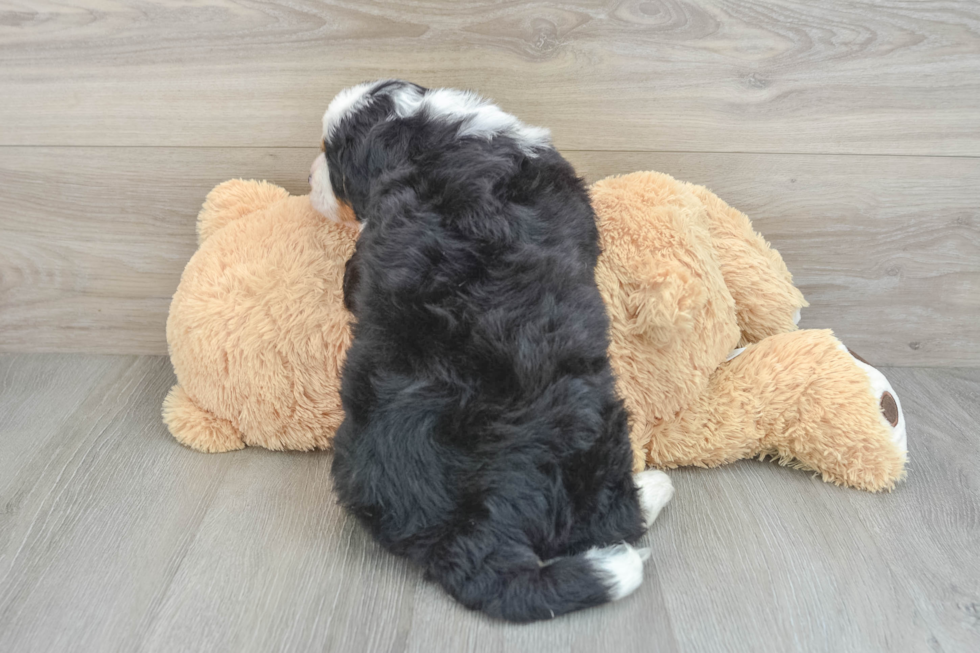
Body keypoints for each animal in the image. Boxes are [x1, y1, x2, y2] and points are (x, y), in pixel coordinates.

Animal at [314, 81, 672, 620]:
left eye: (330, 156)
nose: (309, 178)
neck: (422, 134)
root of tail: (462, 535)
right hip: (593, 430)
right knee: (612, 521)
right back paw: (653, 490)